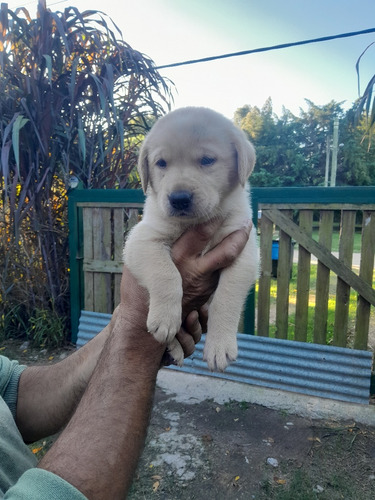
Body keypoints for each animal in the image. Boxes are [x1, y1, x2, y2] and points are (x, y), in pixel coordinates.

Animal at [123, 106, 258, 372]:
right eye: (161, 163)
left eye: (207, 160)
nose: (179, 199)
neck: (193, 223)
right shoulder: (142, 239)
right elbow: (166, 273)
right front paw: (164, 318)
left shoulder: (244, 248)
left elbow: (226, 296)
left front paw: (219, 346)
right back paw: (172, 347)